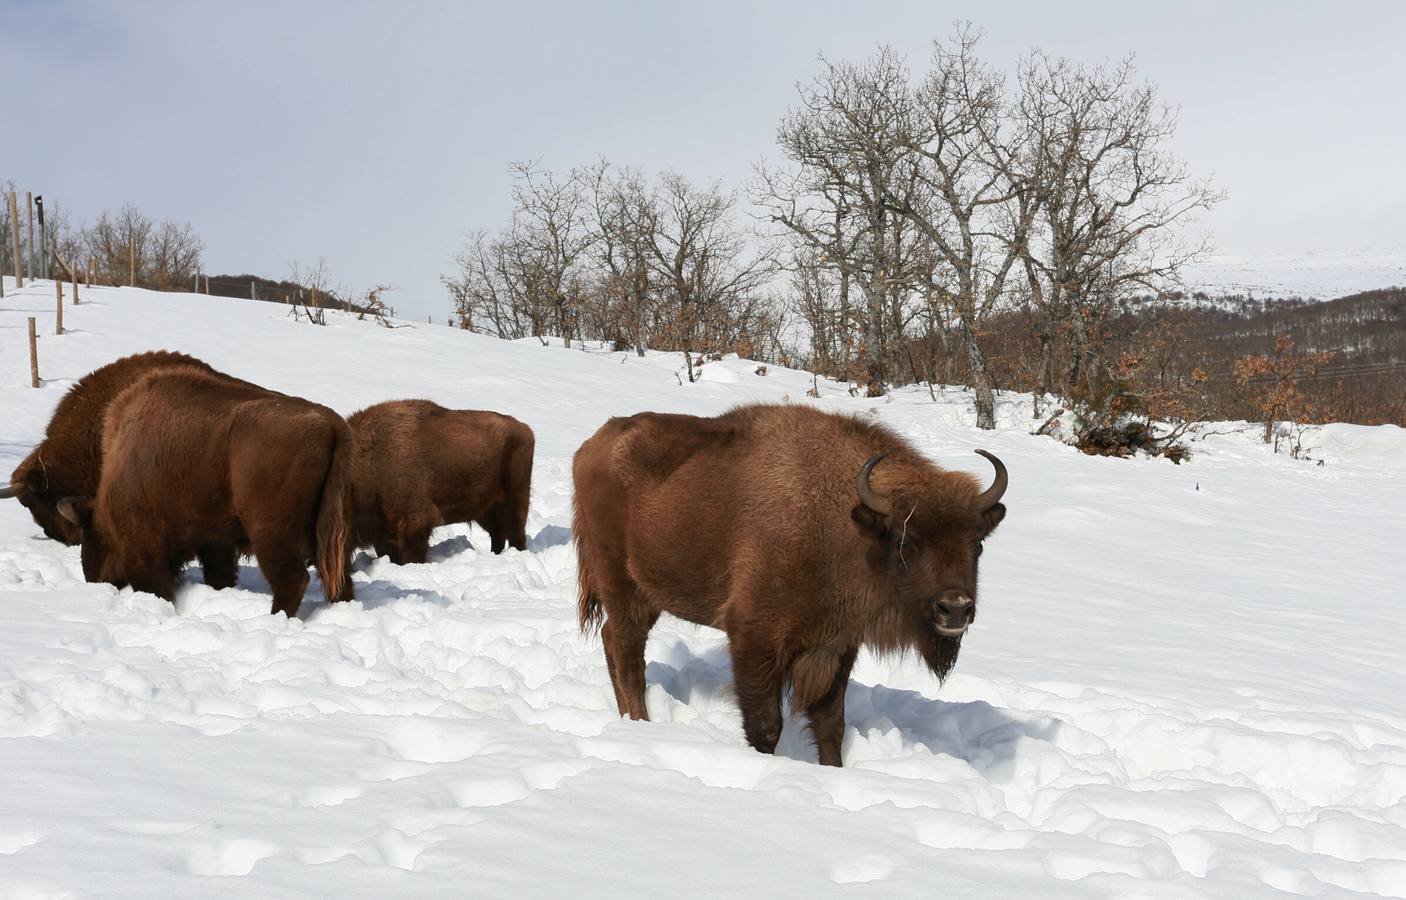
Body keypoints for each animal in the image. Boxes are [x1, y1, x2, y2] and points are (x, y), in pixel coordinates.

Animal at [58, 365, 357, 618]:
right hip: (327, 531)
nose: (96, 579)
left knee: (293, 579)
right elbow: (219, 574)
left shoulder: (145, 546)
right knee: (338, 578)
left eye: (92, 536)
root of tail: (331, 423)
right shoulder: (215, 541)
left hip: (271, 533)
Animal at [345, 399, 531, 562]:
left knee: (515, 535)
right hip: (485, 510)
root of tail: (524, 429)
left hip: (514, 503)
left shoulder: (414, 524)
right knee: (498, 533)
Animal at [570, 405, 1012, 765]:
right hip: (622, 586)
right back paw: (639, 723)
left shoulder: (836, 647)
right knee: (627, 655)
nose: (955, 608)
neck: (847, 524)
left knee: (614, 643)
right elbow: (767, 726)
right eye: (907, 540)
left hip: (647, 596)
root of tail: (591, 447)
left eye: (977, 542)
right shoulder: (755, 638)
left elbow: (831, 725)